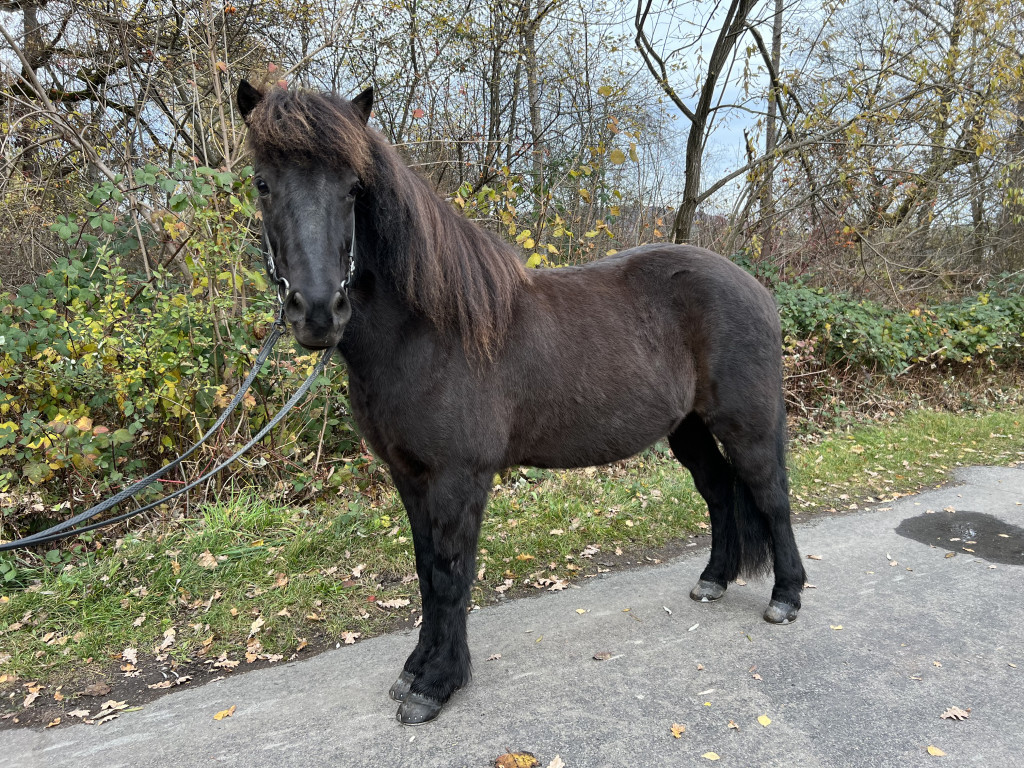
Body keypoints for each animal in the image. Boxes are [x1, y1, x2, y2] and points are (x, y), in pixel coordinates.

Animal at [235, 83, 802, 729]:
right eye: (262, 183)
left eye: (353, 189)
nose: (317, 312)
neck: (429, 332)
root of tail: (754, 287)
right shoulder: (409, 476)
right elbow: (426, 570)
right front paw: (416, 669)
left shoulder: (459, 477)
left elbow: (451, 575)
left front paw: (436, 684)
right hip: (687, 430)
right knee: (718, 492)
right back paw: (713, 581)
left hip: (746, 426)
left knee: (770, 496)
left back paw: (785, 598)